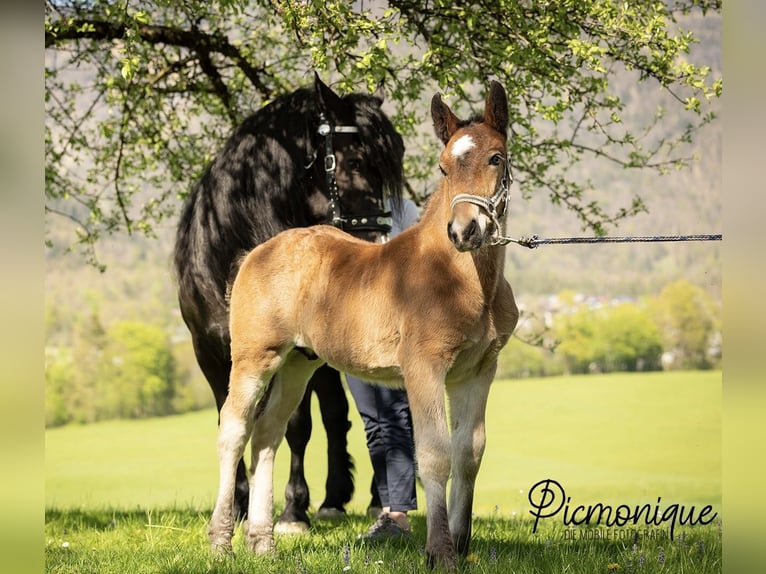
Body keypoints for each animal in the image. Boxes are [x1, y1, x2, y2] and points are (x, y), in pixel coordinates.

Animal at [172, 74, 402, 532]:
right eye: (353, 162)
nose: (381, 246)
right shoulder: (210, 353)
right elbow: (231, 418)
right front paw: (238, 505)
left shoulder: (292, 355)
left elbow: (296, 424)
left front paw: (293, 510)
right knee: (336, 413)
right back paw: (333, 498)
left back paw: (367, 499)